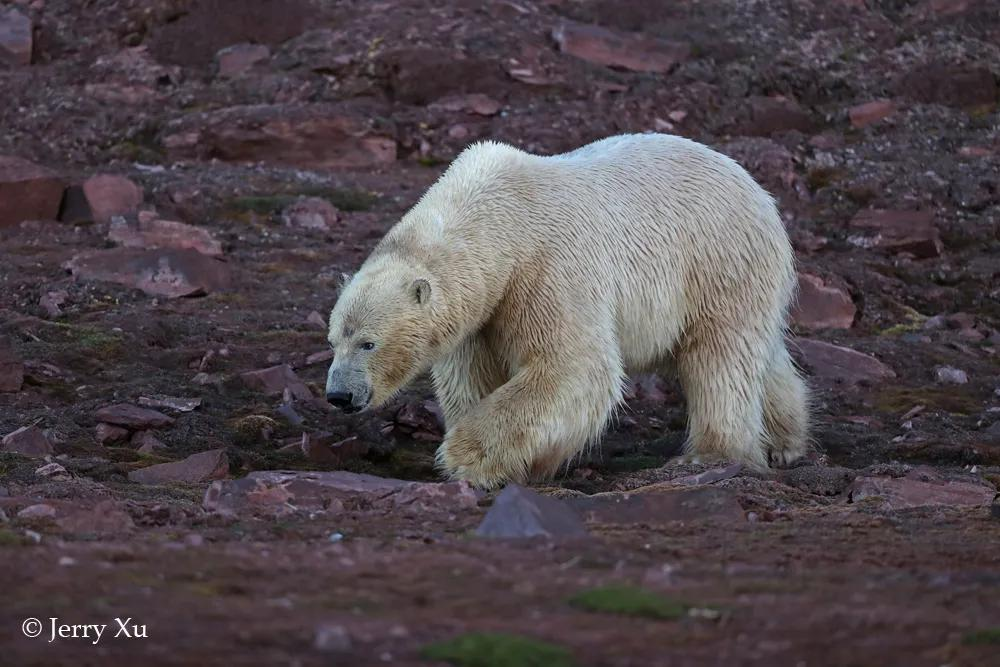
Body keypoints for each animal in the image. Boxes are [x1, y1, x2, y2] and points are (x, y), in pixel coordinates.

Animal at [324, 134, 808, 490]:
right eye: (333, 341)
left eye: (368, 342)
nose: (339, 395)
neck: (496, 212)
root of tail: (755, 187)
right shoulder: (482, 311)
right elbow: (473, 375)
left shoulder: (547, 268)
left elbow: (573, 366)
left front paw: (468, 459)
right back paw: (785, 439)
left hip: (716, 262)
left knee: (720, 355)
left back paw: (711, 453)